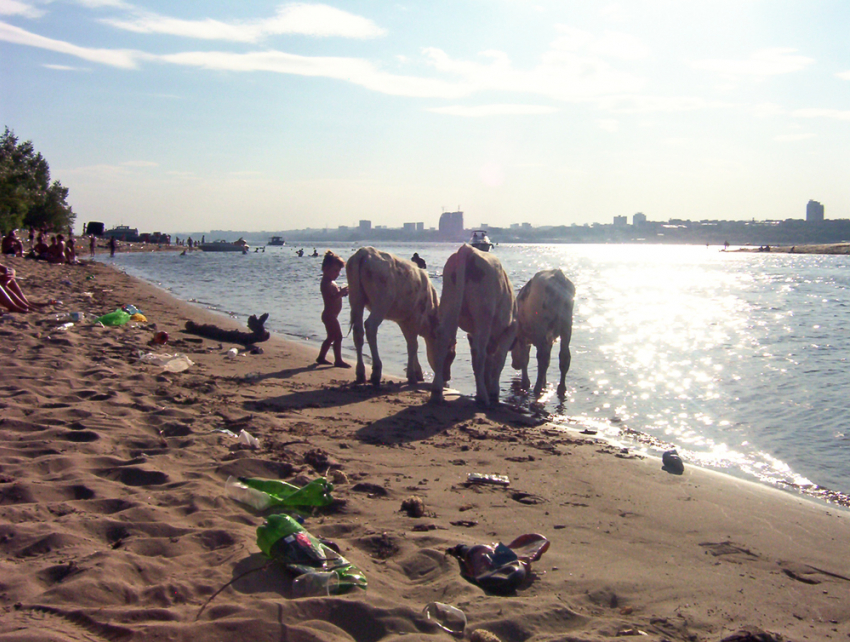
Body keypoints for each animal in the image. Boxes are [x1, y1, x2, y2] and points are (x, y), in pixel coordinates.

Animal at [344, 245, 450, 384]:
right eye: (450, 351)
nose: (447, 376)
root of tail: (364, 252)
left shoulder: (403, 320)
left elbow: (410, 343)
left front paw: (417, 372)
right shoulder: (416, 317)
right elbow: (413, 345)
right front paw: (412, 375)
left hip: (356, 298)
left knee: (358, 331)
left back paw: (360, 373)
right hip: (382, 302)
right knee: (370, 326)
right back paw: (376, 371)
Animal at [430, 244, 516, 404]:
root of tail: (468, 249)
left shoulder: (472, 334)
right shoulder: (510, 329)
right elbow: (499, 360)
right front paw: (493, 392)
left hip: (448, 304)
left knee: (442, 343)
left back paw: (437, 392)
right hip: (483, 315)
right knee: (479, 353)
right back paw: (483, 396)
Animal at [510, 266, 576, 396]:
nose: (514, 365)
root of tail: (558, 275)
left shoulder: (522, 336)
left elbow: (525, 358)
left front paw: (525, 383)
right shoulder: (549, 338)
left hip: (542, 327)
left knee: (542, 357)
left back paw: (537, 388)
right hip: (566, 326)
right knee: (564, 357)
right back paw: (561, 388)